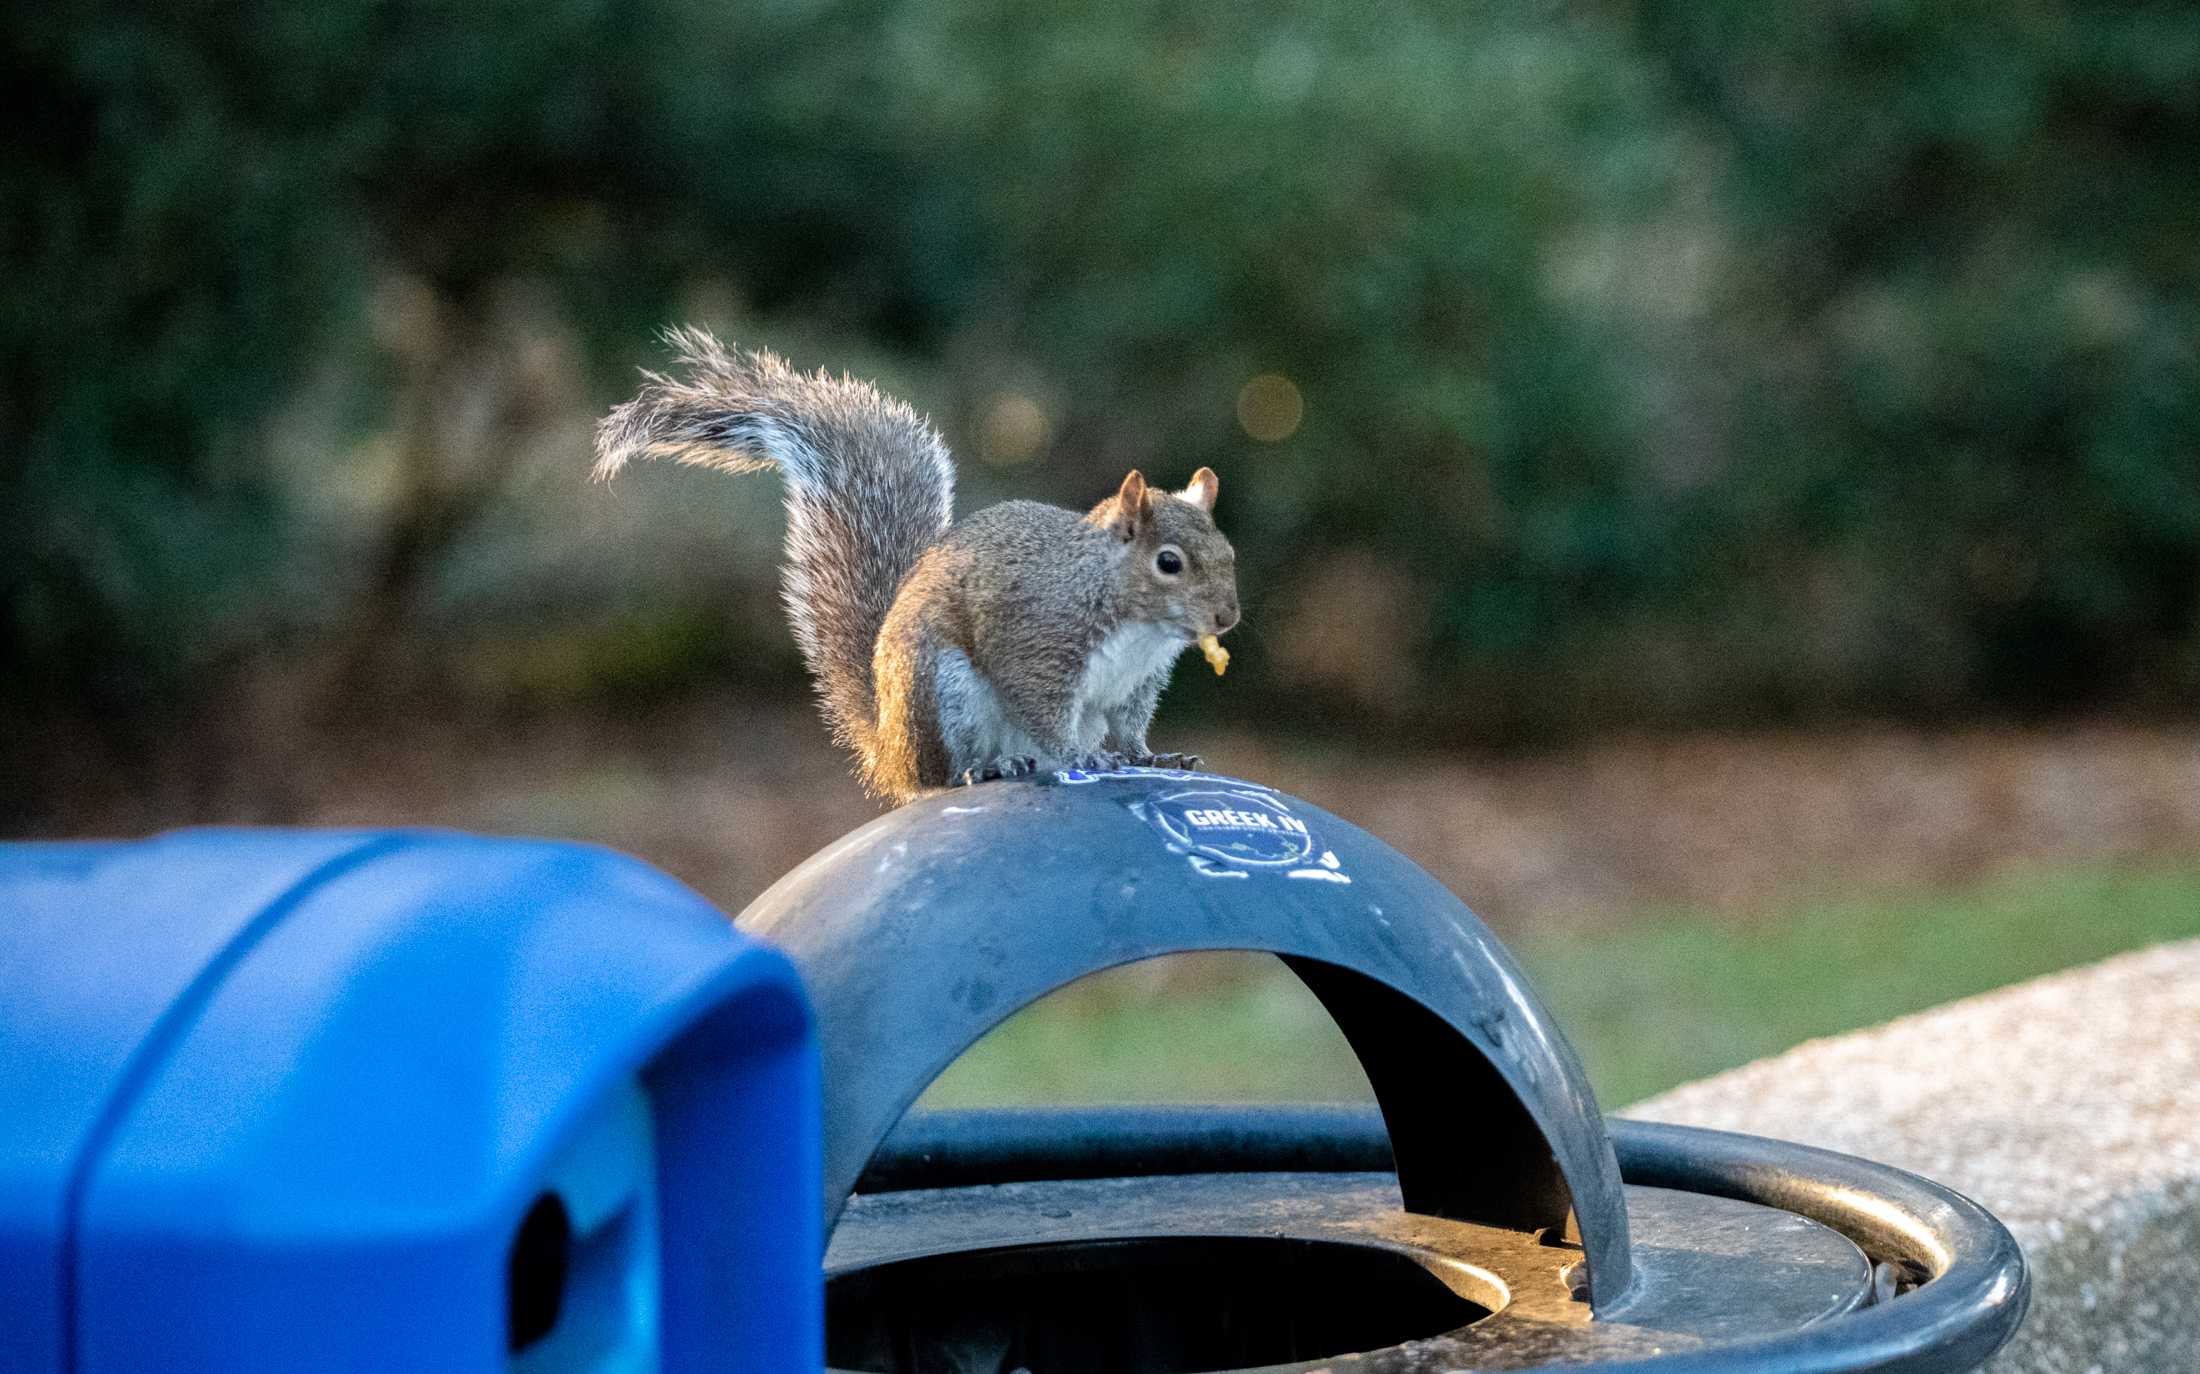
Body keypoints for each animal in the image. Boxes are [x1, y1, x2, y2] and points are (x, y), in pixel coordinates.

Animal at [589, 327, 1240, 804]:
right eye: (1169, 563)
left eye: (1230, 553)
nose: (1227, 619)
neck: (1129, 619)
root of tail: (891, 758)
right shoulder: (1037, 643)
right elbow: (1044, 710)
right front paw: (1084, 756)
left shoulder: (1133, 685)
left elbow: (1129, 729)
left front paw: (1152, 755)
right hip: (943, 692)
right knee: (944, 774)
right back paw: (990, 766)